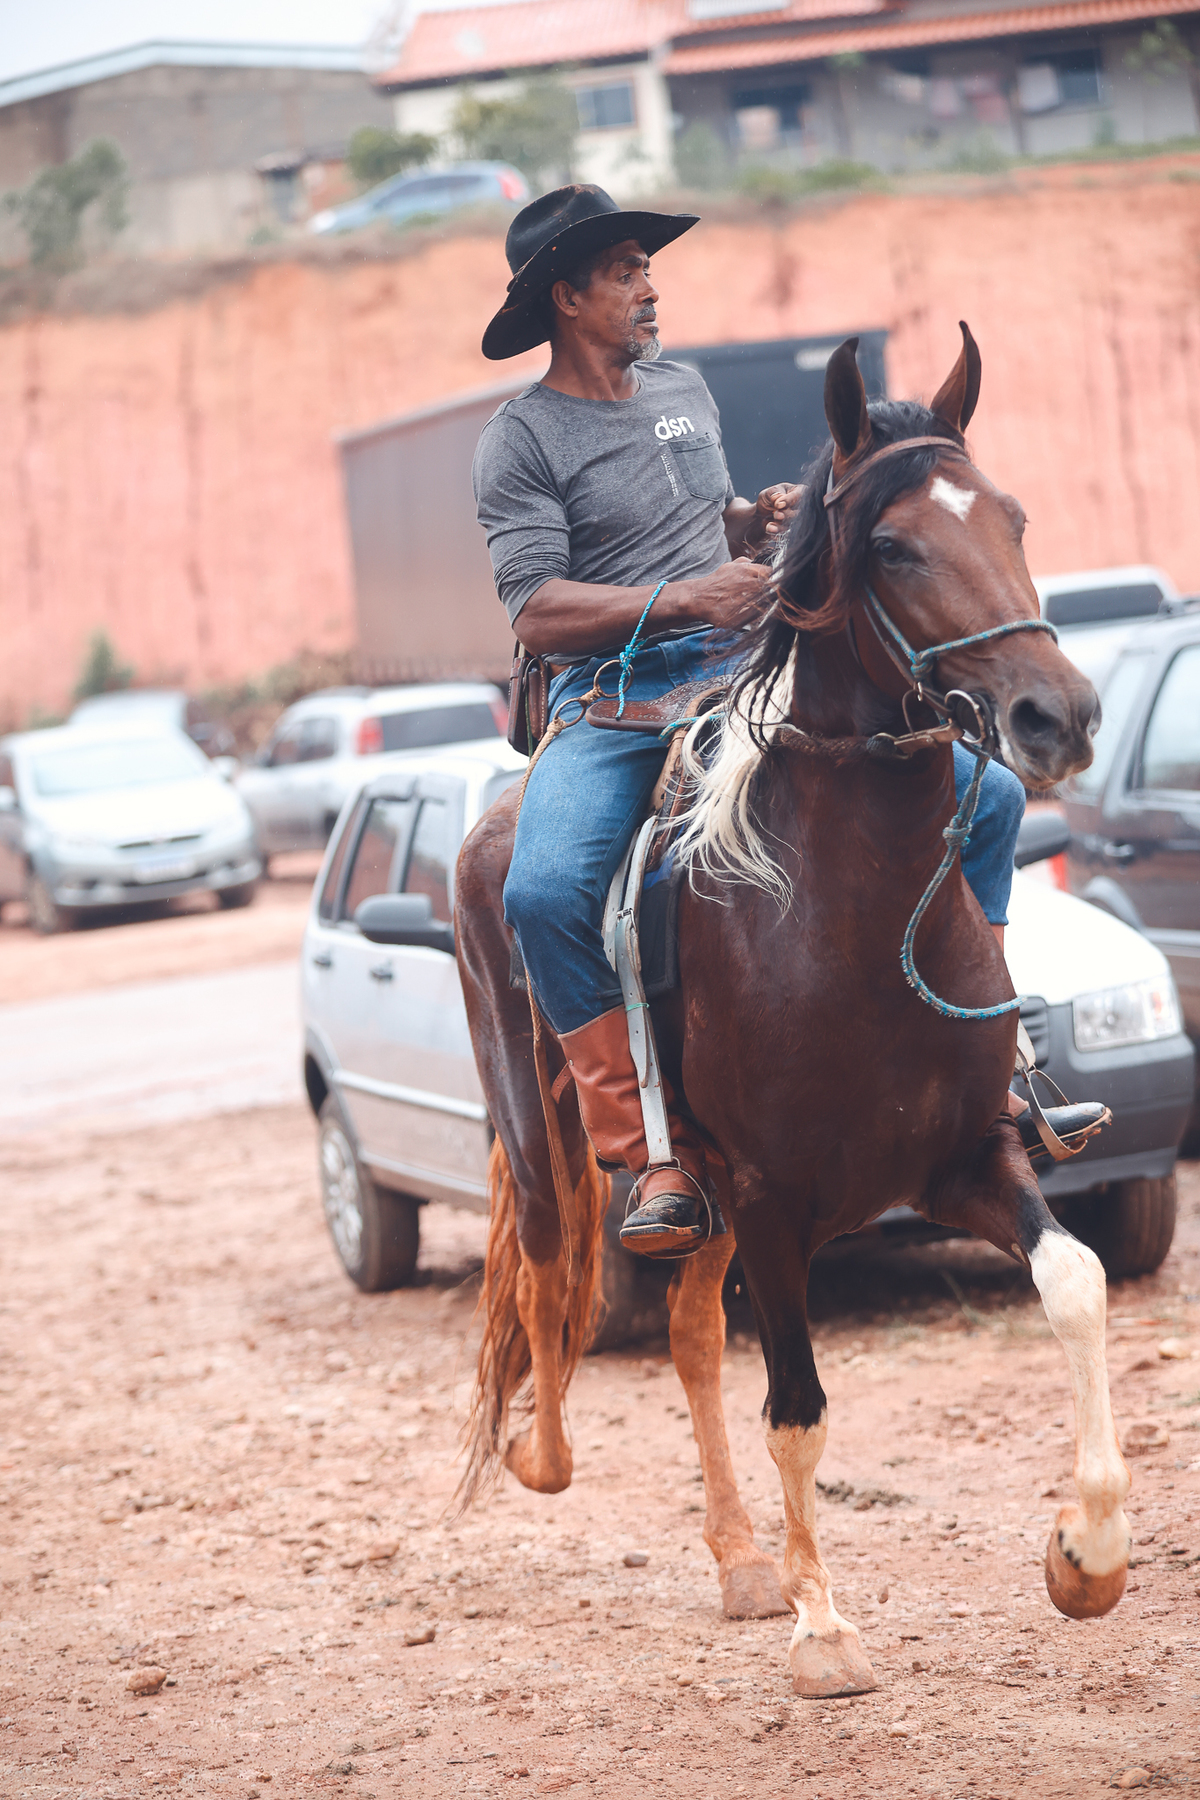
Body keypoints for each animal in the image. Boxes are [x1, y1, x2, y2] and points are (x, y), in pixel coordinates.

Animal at [453, 325, 1131, 1698]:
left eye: (1017, 518)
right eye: (894, 548)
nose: (1059, 716)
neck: (844, 913)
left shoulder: (968, 1161)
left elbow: (1079, 1283)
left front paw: (1085, 1555)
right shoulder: (771, 1200)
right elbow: (800, 1407)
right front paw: (826, 1631)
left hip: (704, 1203)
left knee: (688, 1337)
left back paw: (739, 1561)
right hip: (564, 1146)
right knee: (551, 1280)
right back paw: (547, 1462)